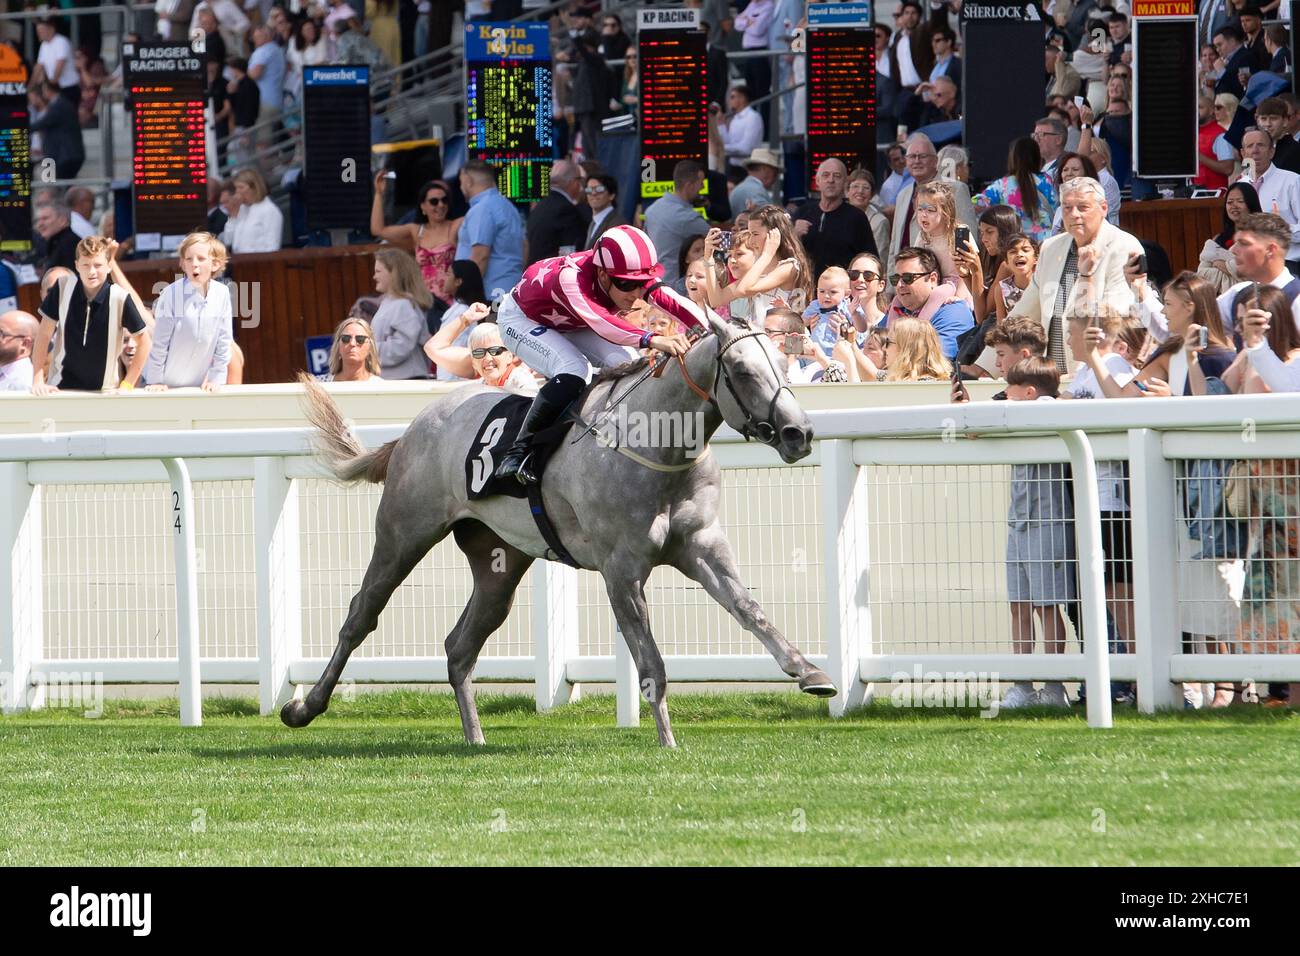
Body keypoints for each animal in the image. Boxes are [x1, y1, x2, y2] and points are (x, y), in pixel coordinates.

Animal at [279, 314, 837, 749]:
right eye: (742, 370)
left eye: (784, 362)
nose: (800, 433)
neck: (655, 445)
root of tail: (416, 426)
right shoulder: (621, 569)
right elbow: (650, 661)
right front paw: (667, 739)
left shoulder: (701, 546)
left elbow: (748, 608)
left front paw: (811, 673)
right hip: (403, 533)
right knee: (361, 614)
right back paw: (304, 707)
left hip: (500, 561)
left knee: (460, 645)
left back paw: (475, 737)